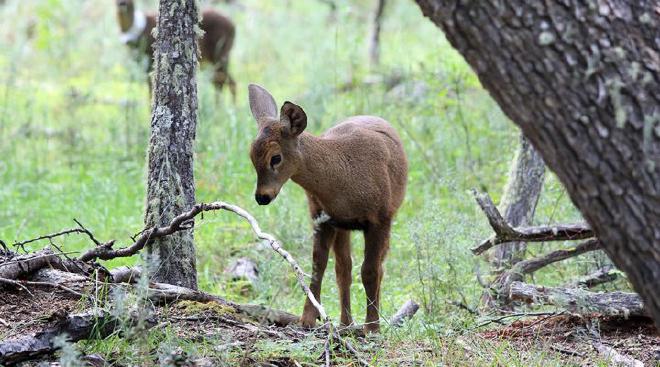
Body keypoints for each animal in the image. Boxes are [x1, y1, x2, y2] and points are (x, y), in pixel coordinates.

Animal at [248, 84, 408, 334]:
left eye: (275, 158)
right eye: (251, 157)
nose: (262, 197)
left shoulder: (379, 218)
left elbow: (370, 271)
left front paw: (372, 328)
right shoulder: (321, 217)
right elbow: (318, 266)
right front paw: (307, 319)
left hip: (387, 216)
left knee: (378, 268)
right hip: (342, 226)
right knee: (344, 269)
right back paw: (345, 324)